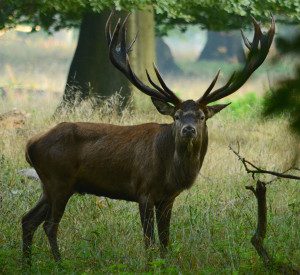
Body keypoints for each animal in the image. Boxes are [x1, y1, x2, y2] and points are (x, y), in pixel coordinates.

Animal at [20, 12, 274, 266]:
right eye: (176, 116)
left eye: (202, 116)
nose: (188, 130)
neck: (171, 173)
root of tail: (30, 145)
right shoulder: (143, 191)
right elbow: (149, 242)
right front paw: (151, 265)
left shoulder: (168, 198)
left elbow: (165, 241)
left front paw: (166, 264)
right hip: (59, 180)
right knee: (49, 226)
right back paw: (59, 263)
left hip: (50, 184)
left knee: (27, 220)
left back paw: (29, 263)